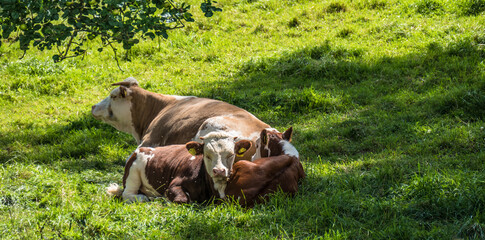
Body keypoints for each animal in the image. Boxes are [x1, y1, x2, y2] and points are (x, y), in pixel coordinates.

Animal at [105, 135, 250, 202]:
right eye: (207, 155)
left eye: (231, 155)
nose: (219, 171)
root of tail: (142, 149)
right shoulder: (173, 185)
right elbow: (182, 199)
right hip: (133, 174)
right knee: (130, 194)